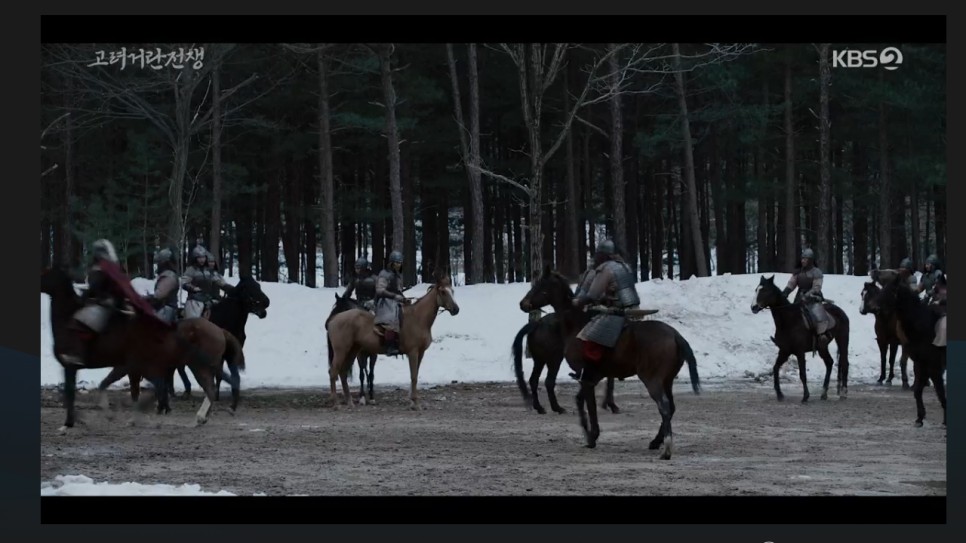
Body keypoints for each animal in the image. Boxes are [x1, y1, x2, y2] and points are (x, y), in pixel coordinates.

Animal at [40, 266, 224, 432]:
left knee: (206, 389)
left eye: (47, 274)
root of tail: (219, 331)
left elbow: (71, 393)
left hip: (196, 366)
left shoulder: (72, 365)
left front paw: (69, 423)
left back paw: (197, 417)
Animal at [326, 274, 462, 410]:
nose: (456, 309)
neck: (418, 318)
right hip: (342, 351)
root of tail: (334, 320)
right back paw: (336, 402)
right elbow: (413, 376)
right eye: (443, 292)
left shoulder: (420, 353)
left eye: (452, 291)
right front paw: (415, 402)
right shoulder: (413, 353)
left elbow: (415, 375)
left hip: (353, 350)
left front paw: (412, 401)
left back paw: (349, 402)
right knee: (333, 371)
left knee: (343, 372)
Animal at [520, 266, 704, 462]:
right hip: (667, 381)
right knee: (671, 406)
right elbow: (580, 401)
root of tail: (676, 336)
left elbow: (590, 405)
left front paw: (592, 436)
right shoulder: (591, 376)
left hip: (652, 379)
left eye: (540, 286)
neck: (576, 325)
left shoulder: (587, 378)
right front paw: (589, 434)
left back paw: (666, 449)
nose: (523, 304)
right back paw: (656, 441)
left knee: (664, 408)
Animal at [752, 276, 852, 404]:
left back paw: (843, 393)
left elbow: (802, 374)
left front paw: (806, 396)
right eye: (756, 290)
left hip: (842, 340)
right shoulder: (784, 351)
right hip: (822, 347)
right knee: (829, 362)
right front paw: (779, 394)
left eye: (765, 291)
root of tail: (841, 312)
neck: (788, 320)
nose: (753, 307)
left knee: (844, 363)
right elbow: (775, 368)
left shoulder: (799, 352)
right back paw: (824, 393)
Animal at [872, 280, 948, 430]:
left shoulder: (934, 368)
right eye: (882, 289)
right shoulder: (920, 365)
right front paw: (919, 418)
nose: (875, 308)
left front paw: (945, 421)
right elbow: (917, 390)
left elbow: (941, 393)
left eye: (890, 292)